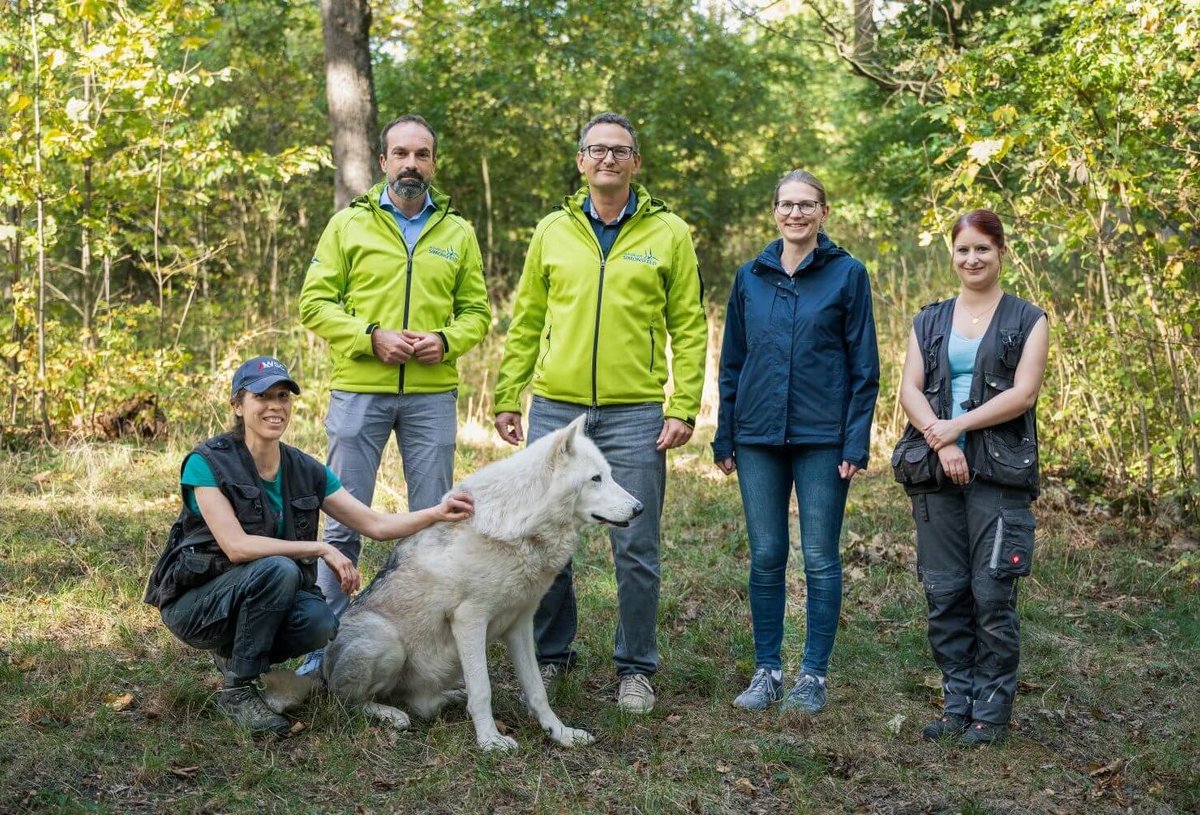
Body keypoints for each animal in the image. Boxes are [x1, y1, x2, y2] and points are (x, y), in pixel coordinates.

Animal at [265, 417, 638, 753]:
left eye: (609, 474)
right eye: (595, 479)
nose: (639, 508)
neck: (523, 527)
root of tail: (320, 672)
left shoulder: (520, 624)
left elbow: (536, 690)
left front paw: (560, 734)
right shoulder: (469, 620)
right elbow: (483, 689)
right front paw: (490, 742)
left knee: (422, 704)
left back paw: (448, 697)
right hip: (387, 643)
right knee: (348, 702)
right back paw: (390, 715)